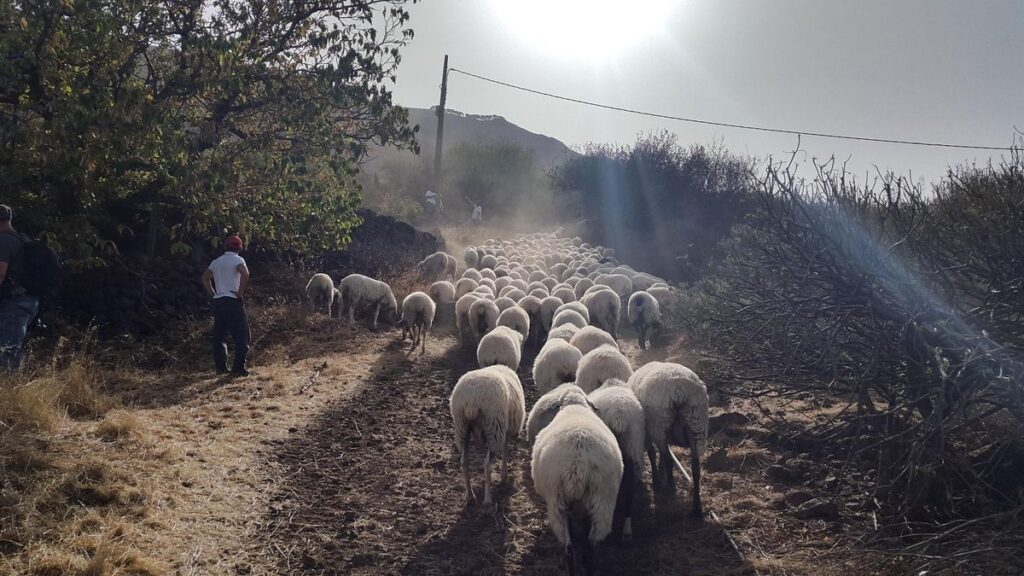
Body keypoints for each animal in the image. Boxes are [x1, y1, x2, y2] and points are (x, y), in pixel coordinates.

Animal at [450, 365, 526, 506]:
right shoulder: (506, 429)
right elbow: (505, 450)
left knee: (464, 462)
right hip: (494, 427)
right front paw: (503, 475)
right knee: (487, 465)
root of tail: (472, 400)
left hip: (462, 427)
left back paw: (470, 495)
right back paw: (487, 499)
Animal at [532, 404, 623, 575]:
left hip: (558, 503)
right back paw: (587, 564)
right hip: (600, 500)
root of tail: (577, 465)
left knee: (569, 548)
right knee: (590, 544)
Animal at [629, 361, 710, 516]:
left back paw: (670, 487)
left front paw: (656, 479)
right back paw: (697, 506)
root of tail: (679, 389)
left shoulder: (647, 432)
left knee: (668, 459)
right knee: (695, 467)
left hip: (660, 424)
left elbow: (652, 453)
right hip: (695, 423)